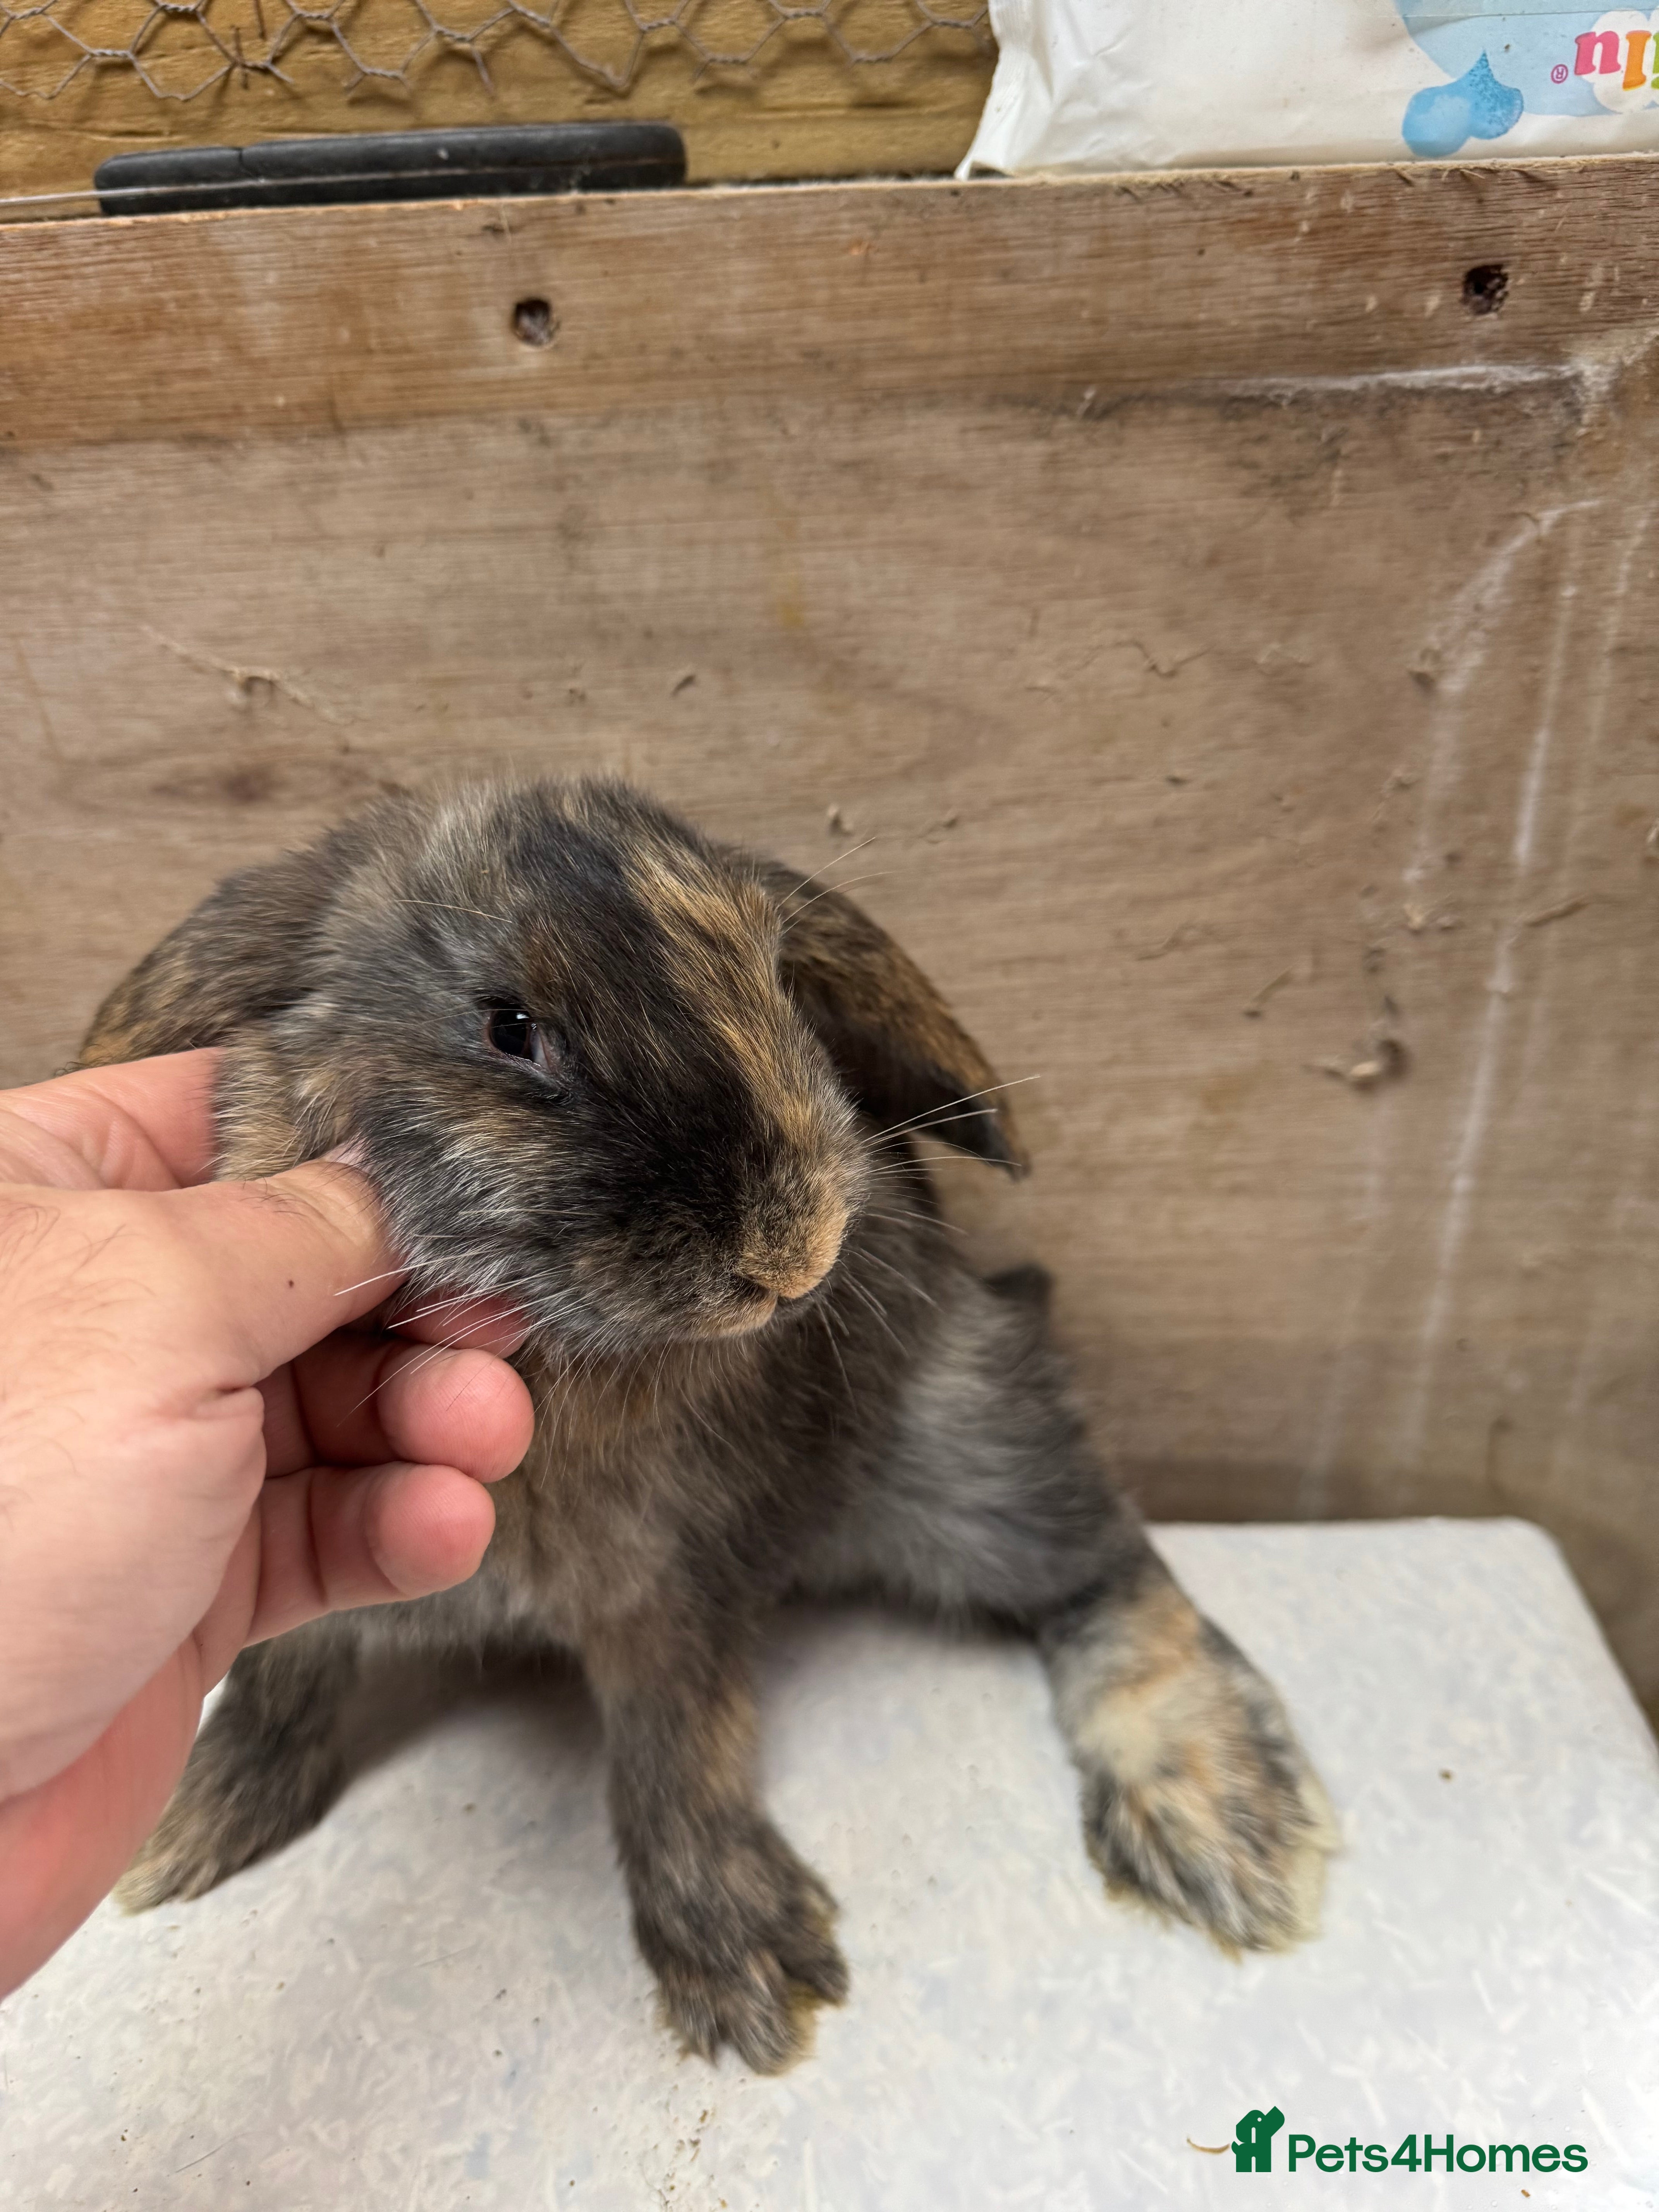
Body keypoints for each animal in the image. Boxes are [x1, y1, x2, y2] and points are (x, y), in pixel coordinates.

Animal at [81, 776, 1337, 2073]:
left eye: (774, 982)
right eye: (508, 1029)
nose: (794, 1250)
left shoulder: (673, 1586)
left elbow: (675, 1755)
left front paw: (747, 1975)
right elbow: (276, 1682)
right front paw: (186, 1833)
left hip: (970, 1448)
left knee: (1114, 1568)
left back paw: (1219, 1823)